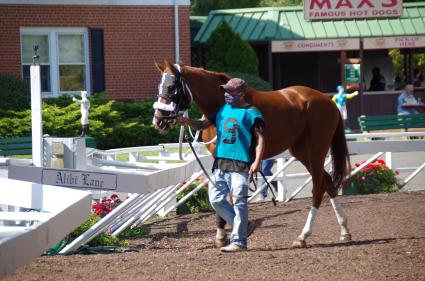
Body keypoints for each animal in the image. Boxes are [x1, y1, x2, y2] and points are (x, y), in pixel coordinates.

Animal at [152, 60, 352, 246]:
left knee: (318, 188)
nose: (158, 120)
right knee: (327, 181)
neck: (222, 105)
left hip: (316, 149)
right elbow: (222, 195)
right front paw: (222, 234)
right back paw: (344, 230)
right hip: (301, 151)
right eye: (159, 86)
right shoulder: (220, 157)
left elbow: (233, 196)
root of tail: (329, 102)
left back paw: (303, 236)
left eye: (171, 87)